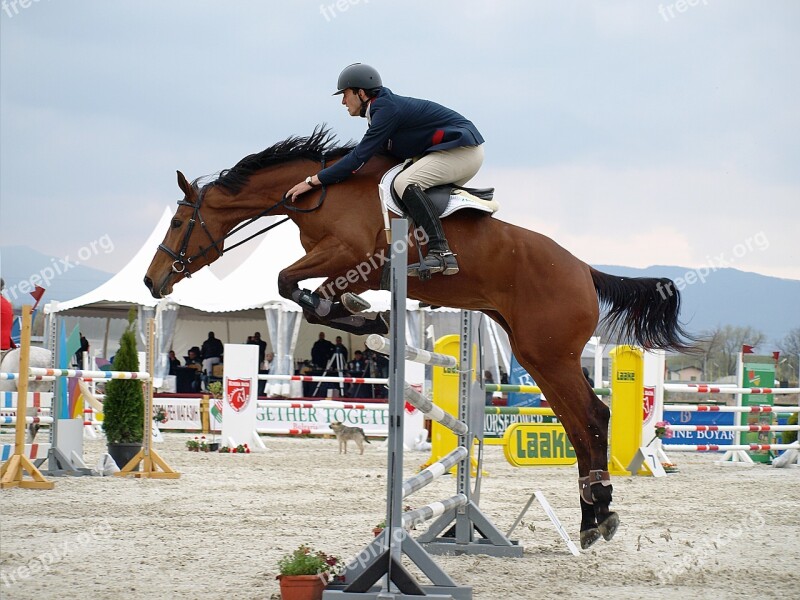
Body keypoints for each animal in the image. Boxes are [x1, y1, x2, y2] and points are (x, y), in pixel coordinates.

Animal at [144, 126, 692, 548]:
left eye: (178, 221)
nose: (152, 282)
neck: (320, 192)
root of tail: (585, 270)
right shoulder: (350, 266)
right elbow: (301, 288)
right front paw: (363, 316)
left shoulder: (351, 255)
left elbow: (288, 283)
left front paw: (365, 319)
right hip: (536, 356)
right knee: (581, 425)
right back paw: (592, 520)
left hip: (548, 353)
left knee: (593, 418)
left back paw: (599, 511)